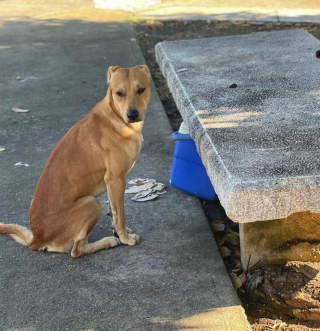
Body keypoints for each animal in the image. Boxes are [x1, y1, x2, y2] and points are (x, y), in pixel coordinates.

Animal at [0, 64, 151, 256]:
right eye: (119, 93)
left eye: (141, 90)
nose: (132, 114)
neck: (115, 117)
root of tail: (37, 239)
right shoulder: (116, 179)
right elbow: (120, 214)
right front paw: (124, 237)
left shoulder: (112, 184)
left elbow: (114, 212)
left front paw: (119, 232)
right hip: (91, 203)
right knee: (77, 250)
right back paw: (107, 242)